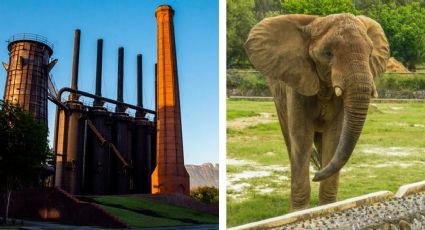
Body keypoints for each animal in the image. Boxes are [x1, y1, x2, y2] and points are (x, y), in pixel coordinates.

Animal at [245, 13, 388, 212]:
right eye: (328, 53)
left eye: (370, 53)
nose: (316, 175)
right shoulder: (297, 82)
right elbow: (302, 136)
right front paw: (299, 211)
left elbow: (334, 137)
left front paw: (327, 206)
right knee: (290, 140)